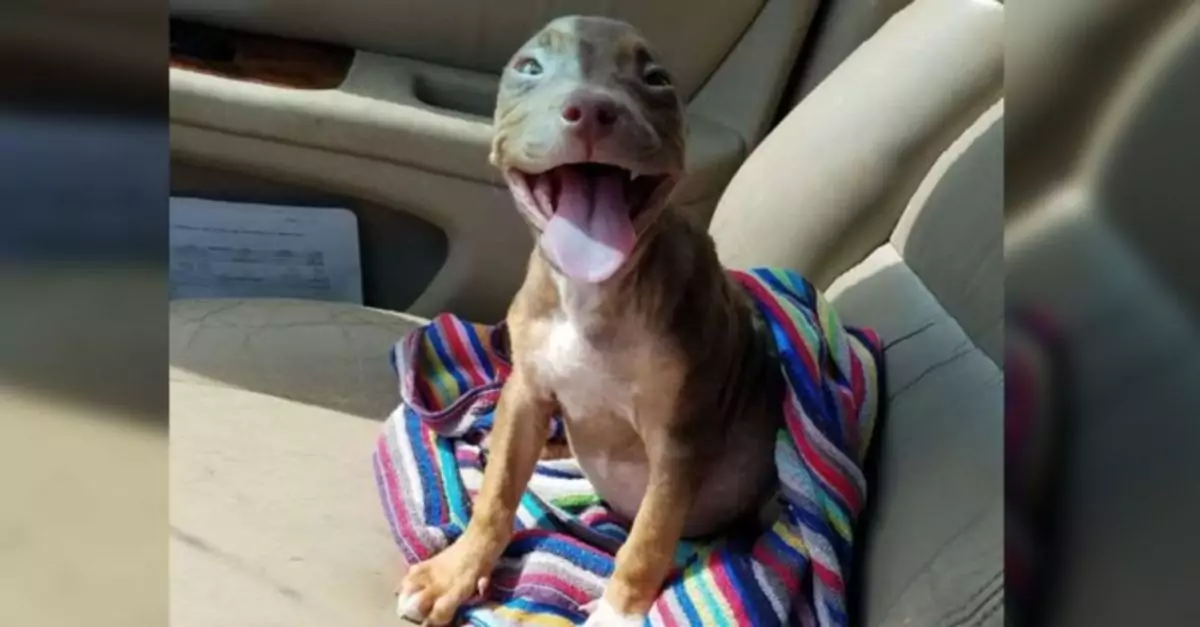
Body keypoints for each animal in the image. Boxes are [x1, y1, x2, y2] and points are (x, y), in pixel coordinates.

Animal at [398, 15, 782, 624]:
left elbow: (649, 537)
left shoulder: (681, 437)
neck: (593, 294)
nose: (593, 108)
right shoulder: (526, 393)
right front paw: (453, 573)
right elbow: (497, 496)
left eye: (656, 80)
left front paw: (620, 610)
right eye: (529, 67)